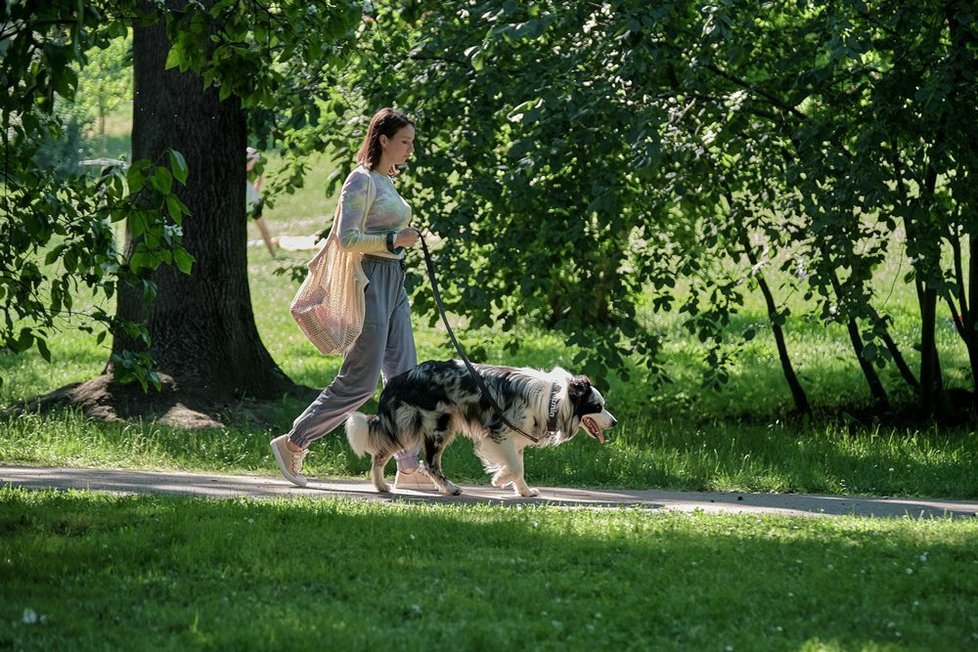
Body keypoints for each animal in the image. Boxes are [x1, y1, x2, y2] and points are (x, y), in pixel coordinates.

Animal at [346, 360, 612, 496]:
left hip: (409, 426)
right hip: (437, 425)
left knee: (381, 453)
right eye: (597, 407)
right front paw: (500, 479)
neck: (553, 400)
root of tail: (401, 379)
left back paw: (380, 486)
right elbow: (515, 467)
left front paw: (525, 492)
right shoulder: (499, 432)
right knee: (430, 463)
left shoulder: (515, 438)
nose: (615, 422)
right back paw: (449, 488)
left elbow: (520, 468)